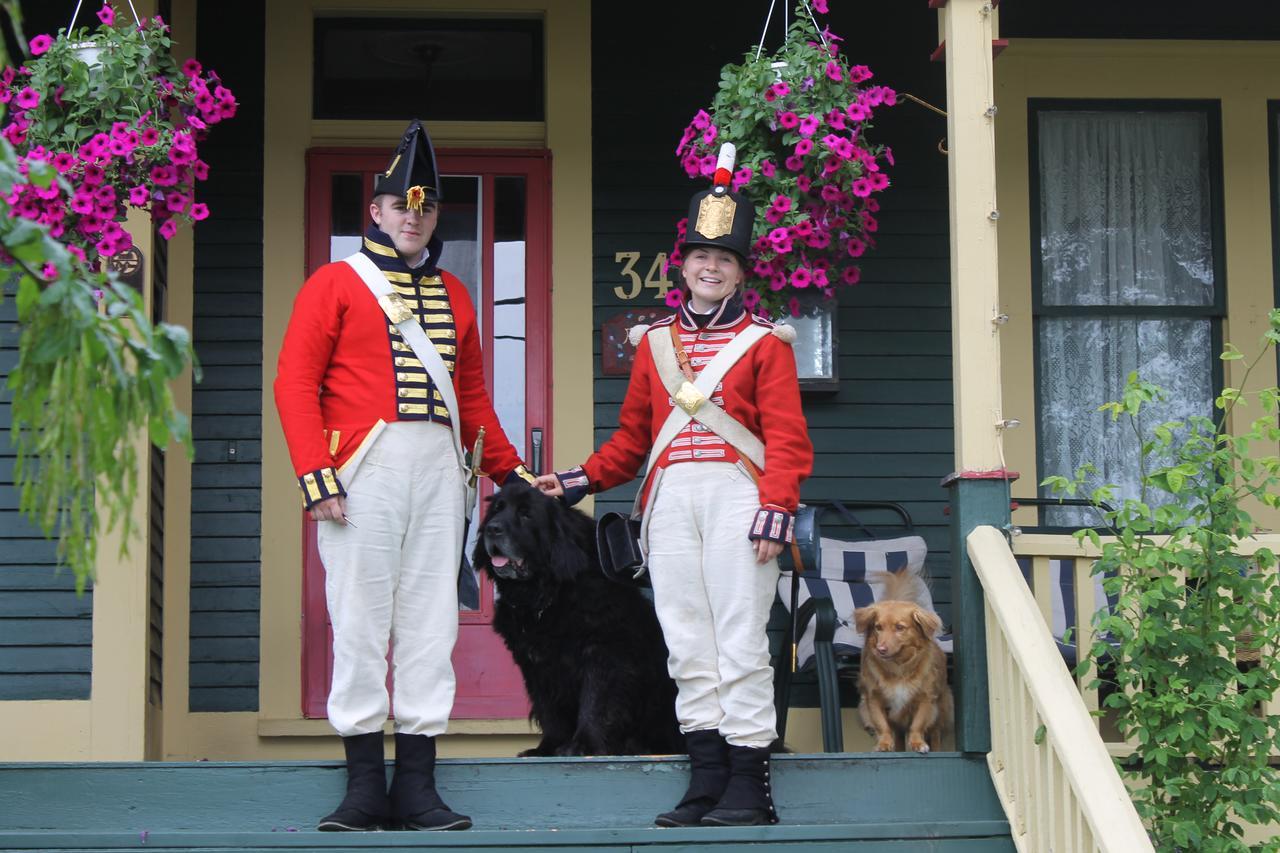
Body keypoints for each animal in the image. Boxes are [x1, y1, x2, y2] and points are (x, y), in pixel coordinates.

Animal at [476, 481, 686, 753]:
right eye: (497, 510)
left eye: (526, 514)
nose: (492, 528)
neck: (547, 596)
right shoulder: (536, 665)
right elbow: (548, 709)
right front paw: (548, 748)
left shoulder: (603, 654)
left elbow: (595, 703)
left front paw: (583, 746)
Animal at [849, 571, 952, 753]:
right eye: (878, 627)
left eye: (900, 627)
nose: (881, 649)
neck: (898, 666)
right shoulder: (873, 699)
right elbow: (882, 725)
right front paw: (883, 743)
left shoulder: (926, 699)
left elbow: (918, 724)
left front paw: (918, 743)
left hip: (941, 707)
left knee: (935, 733)